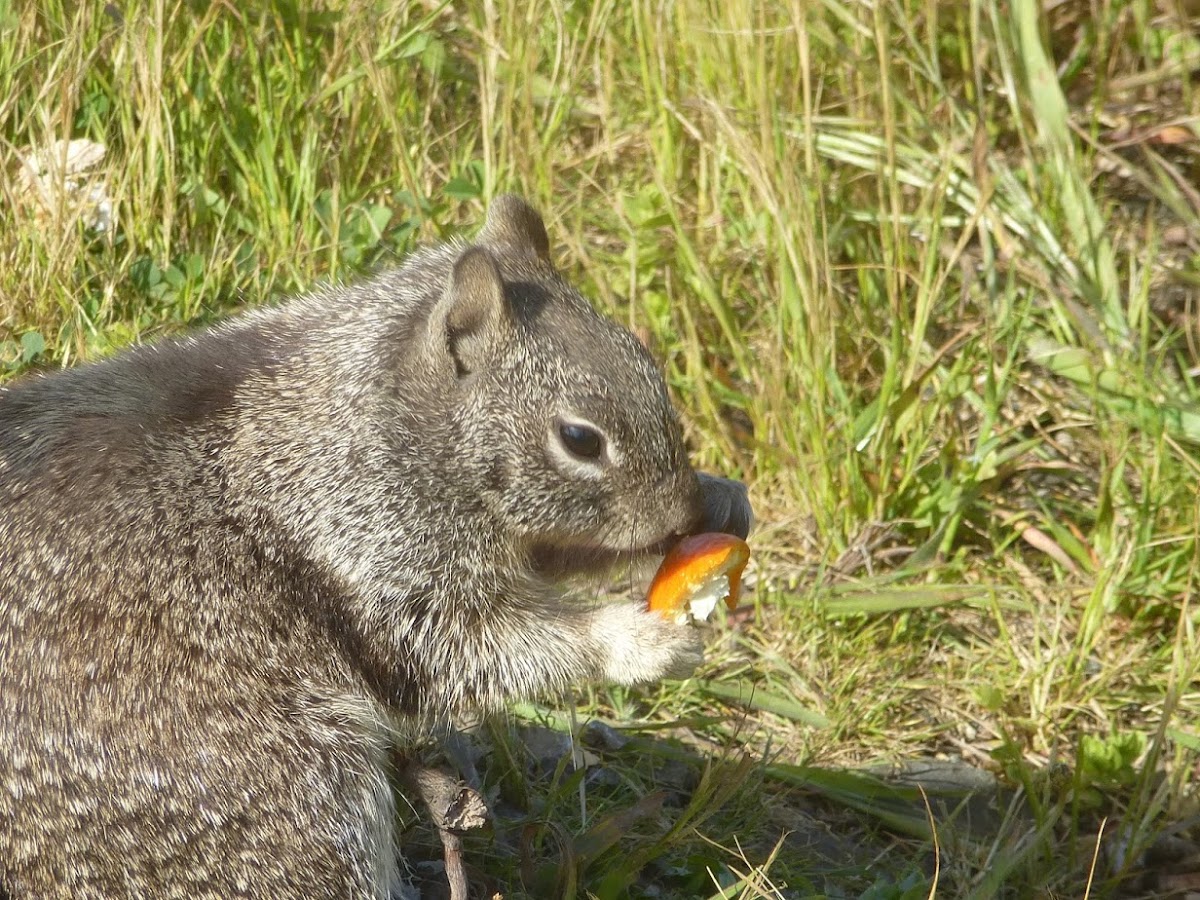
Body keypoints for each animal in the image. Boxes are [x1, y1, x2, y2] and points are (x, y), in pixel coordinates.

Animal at [0, 196, 748, 900]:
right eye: (580, 438)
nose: (681, 510)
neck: (378, 413)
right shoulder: (374, 547)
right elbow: (472, 648)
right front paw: (636, 639)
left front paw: (722, 497)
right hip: (298, 795)